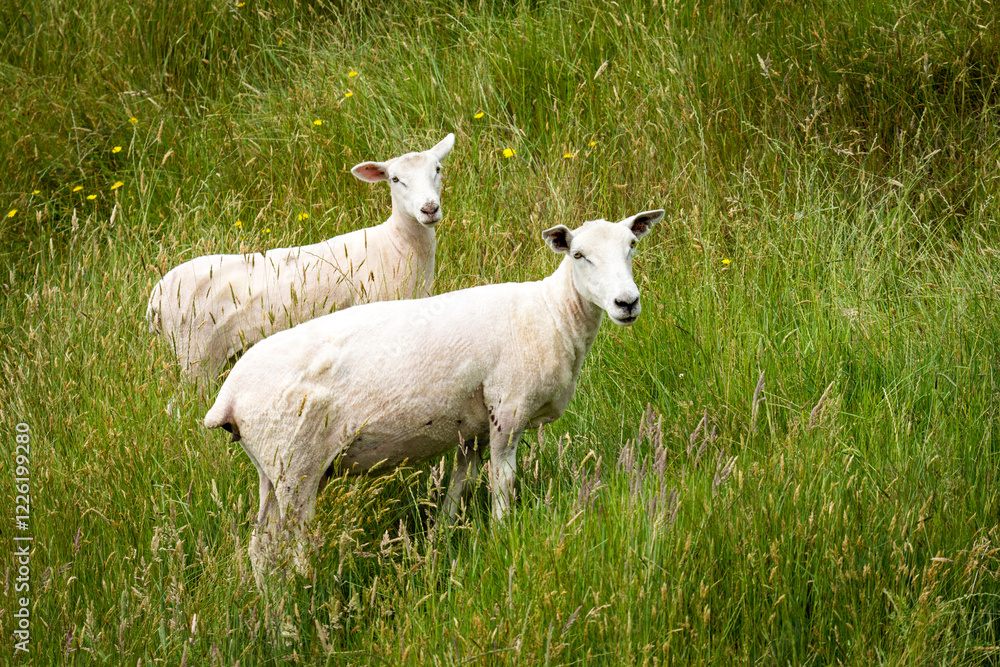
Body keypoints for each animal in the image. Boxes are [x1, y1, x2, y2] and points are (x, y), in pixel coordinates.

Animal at [146, 133, 456, 381]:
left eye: (438, 169)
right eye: (395, 179)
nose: (429, 209)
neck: (397, 243)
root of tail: (156, 298)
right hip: (194, 355)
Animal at [204, 208, 664, 585]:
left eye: (632, 246)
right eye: (579, 255)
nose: (627, 303)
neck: (552, 313)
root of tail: (228, 396)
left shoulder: (474, 425)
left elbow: (461, 481)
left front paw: (443, 533)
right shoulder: (508, 411)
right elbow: (502, 482)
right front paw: (503, 536)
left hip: (270, 466)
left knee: (259, 546)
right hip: (296, 468)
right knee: (291, 543)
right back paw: (303, 595)